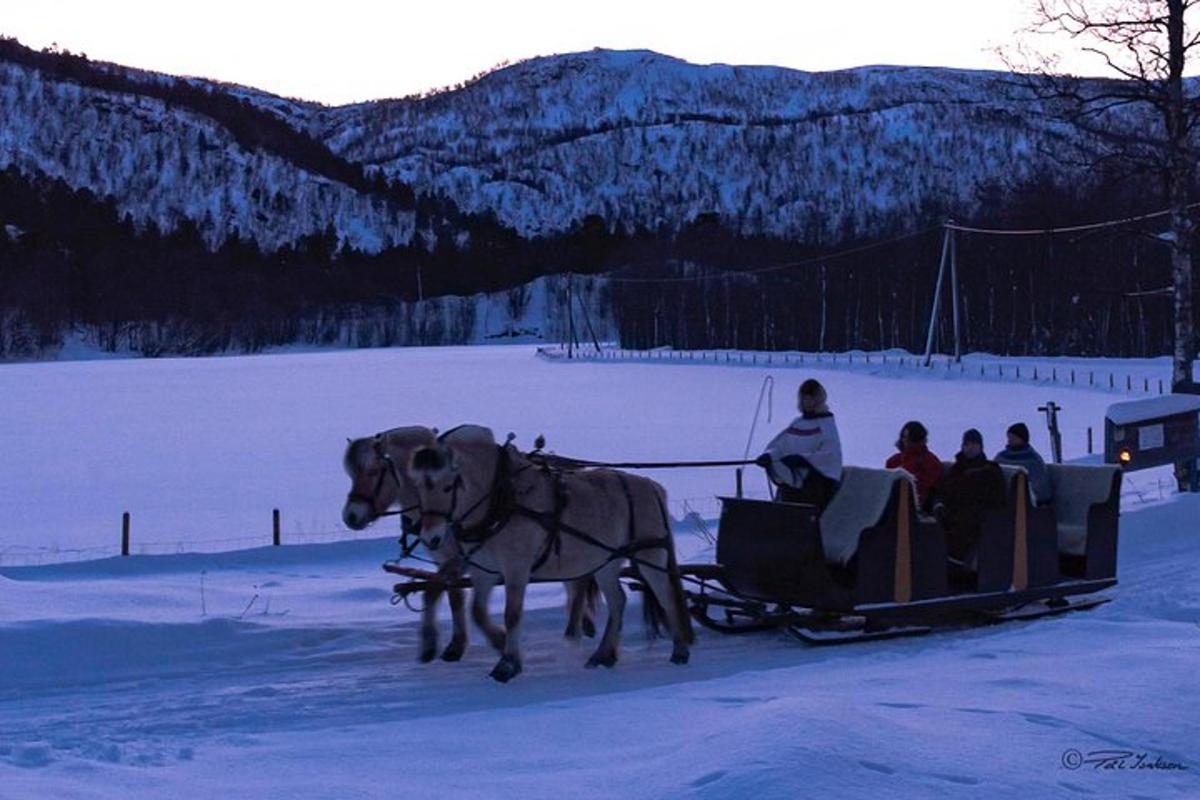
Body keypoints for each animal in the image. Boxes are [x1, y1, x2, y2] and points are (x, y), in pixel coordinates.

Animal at [343, 424, 595, 662]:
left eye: (375, 471)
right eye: (351, 474)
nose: (350, 517)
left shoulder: (462, 558)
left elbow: (443, 591)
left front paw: (480, 640)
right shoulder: (449, 558)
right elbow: (448, 594)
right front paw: (448, 645)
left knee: (579, 582)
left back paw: (577, 629)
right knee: (576, 581)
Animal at [410, 424, 700, 681]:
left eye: (448, 485)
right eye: (418, 487)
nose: (430, 537)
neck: (500, 498)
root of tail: (652, 486)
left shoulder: (517, 568)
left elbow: (512, 614)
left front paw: (507, 664)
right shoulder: (484, 571)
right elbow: (478, 612)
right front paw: (500, 641)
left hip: (650, 555)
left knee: (666, 596)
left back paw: (679, 651)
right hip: (607, 561)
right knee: (618, 600)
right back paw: (603, 655)